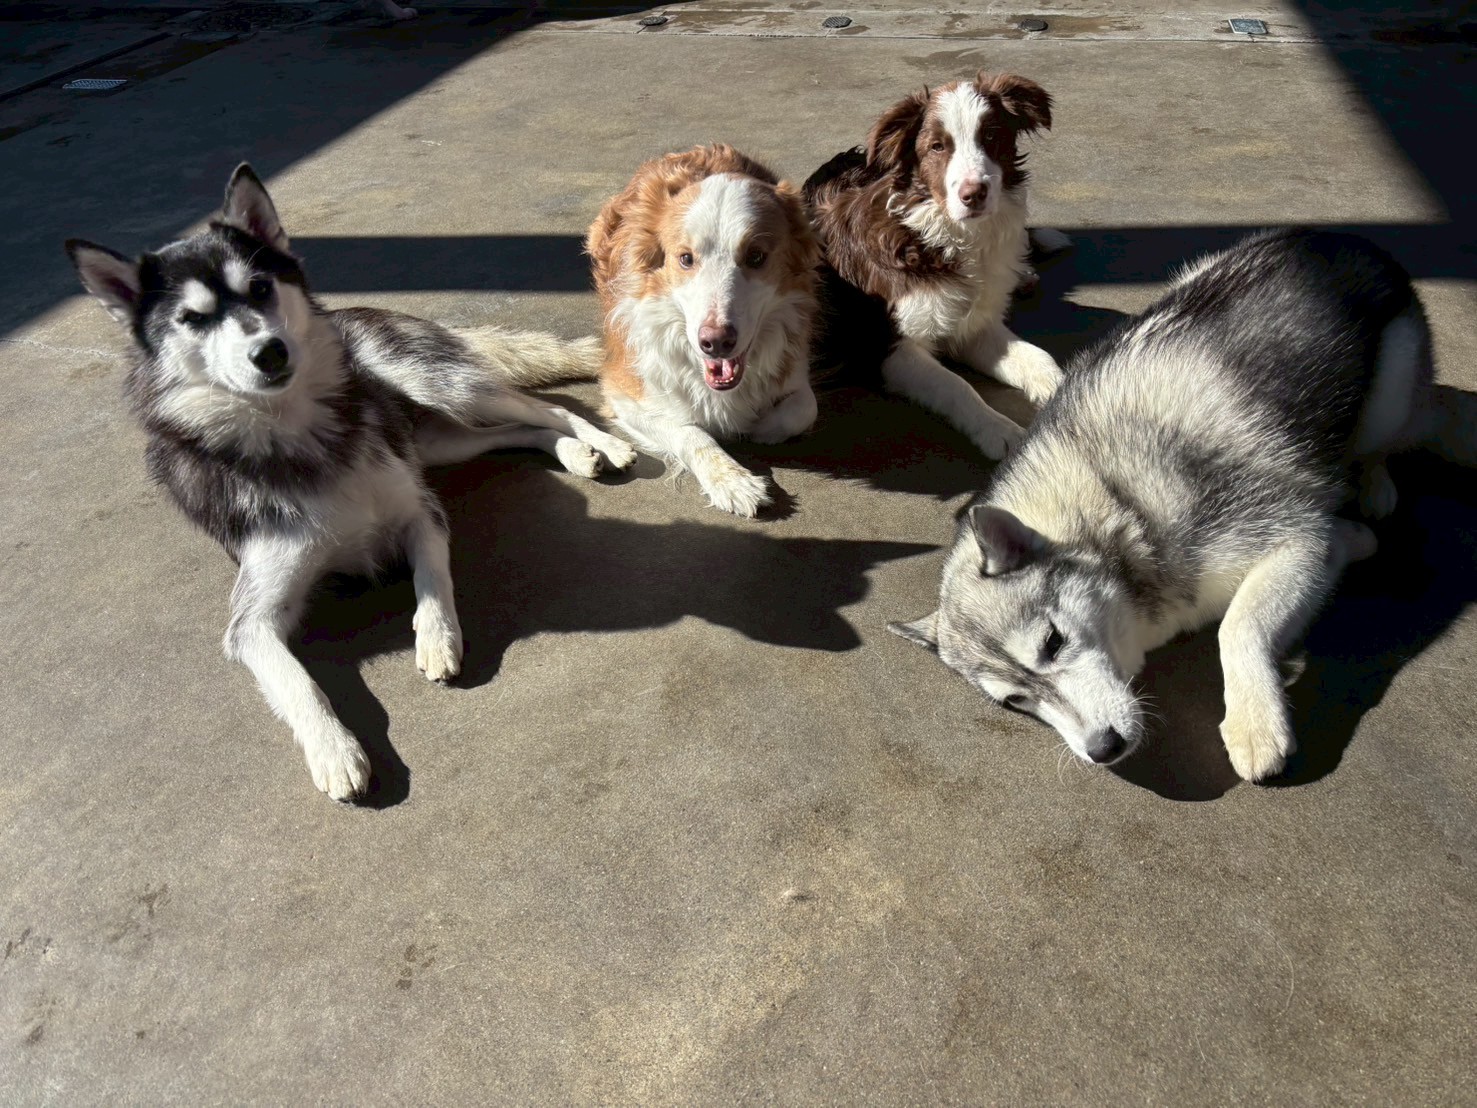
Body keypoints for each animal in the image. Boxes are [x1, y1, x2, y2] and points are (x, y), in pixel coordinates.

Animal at [66, 163, 636, 801]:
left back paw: (603, 443)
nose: (269, 352)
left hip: (443, 386)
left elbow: (432, 575)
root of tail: (356, 312)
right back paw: (576, 454)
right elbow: (296, 681)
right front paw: (334, 750)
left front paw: (436, 636)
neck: (303, 439)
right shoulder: (252, 622)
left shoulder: (420, 513)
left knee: (544, 406)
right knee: (516, 428)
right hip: (439, 440)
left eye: (260, 288)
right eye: (192, 318)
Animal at [586, 144, 821, 517]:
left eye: (756, 256)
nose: (716, 342)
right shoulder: (623, 394)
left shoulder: (793, 366)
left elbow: (804, 407)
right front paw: (734, 481)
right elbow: (691, 432)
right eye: (685, 259)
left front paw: (760, 428)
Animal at [805, 72, 1069, 460]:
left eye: (991, 137)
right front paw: (998, 429)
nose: (973, 195)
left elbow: (1037, 357)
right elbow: (955, 385)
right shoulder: (889, 348)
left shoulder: (974, 326)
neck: (942, 236)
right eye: (937, 147)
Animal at [889, 229, 1476, 782]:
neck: (1115, 504)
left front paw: (1253, 722)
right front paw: (1352, 540)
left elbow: (1237, 625)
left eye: (1053, 643)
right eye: (1016, 701)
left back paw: (1377, 485)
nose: (1102, 749)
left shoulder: (1290, 537)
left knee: (1389, 438)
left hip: (1390, 393)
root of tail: (1342, 239)